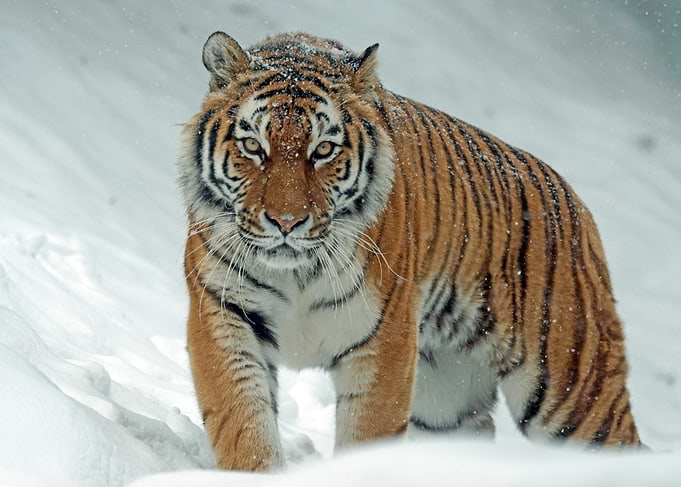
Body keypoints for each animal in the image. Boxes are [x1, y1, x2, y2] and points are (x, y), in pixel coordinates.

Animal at [179, 31, 642, 471]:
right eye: (253, 146)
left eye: (323, 150)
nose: (287, 222)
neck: (296, 273)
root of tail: (577, 205)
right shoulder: (223, 314)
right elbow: (243, 424)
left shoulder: (384, 339)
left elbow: (367, 435)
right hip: (446, 403)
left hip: (573, 391)